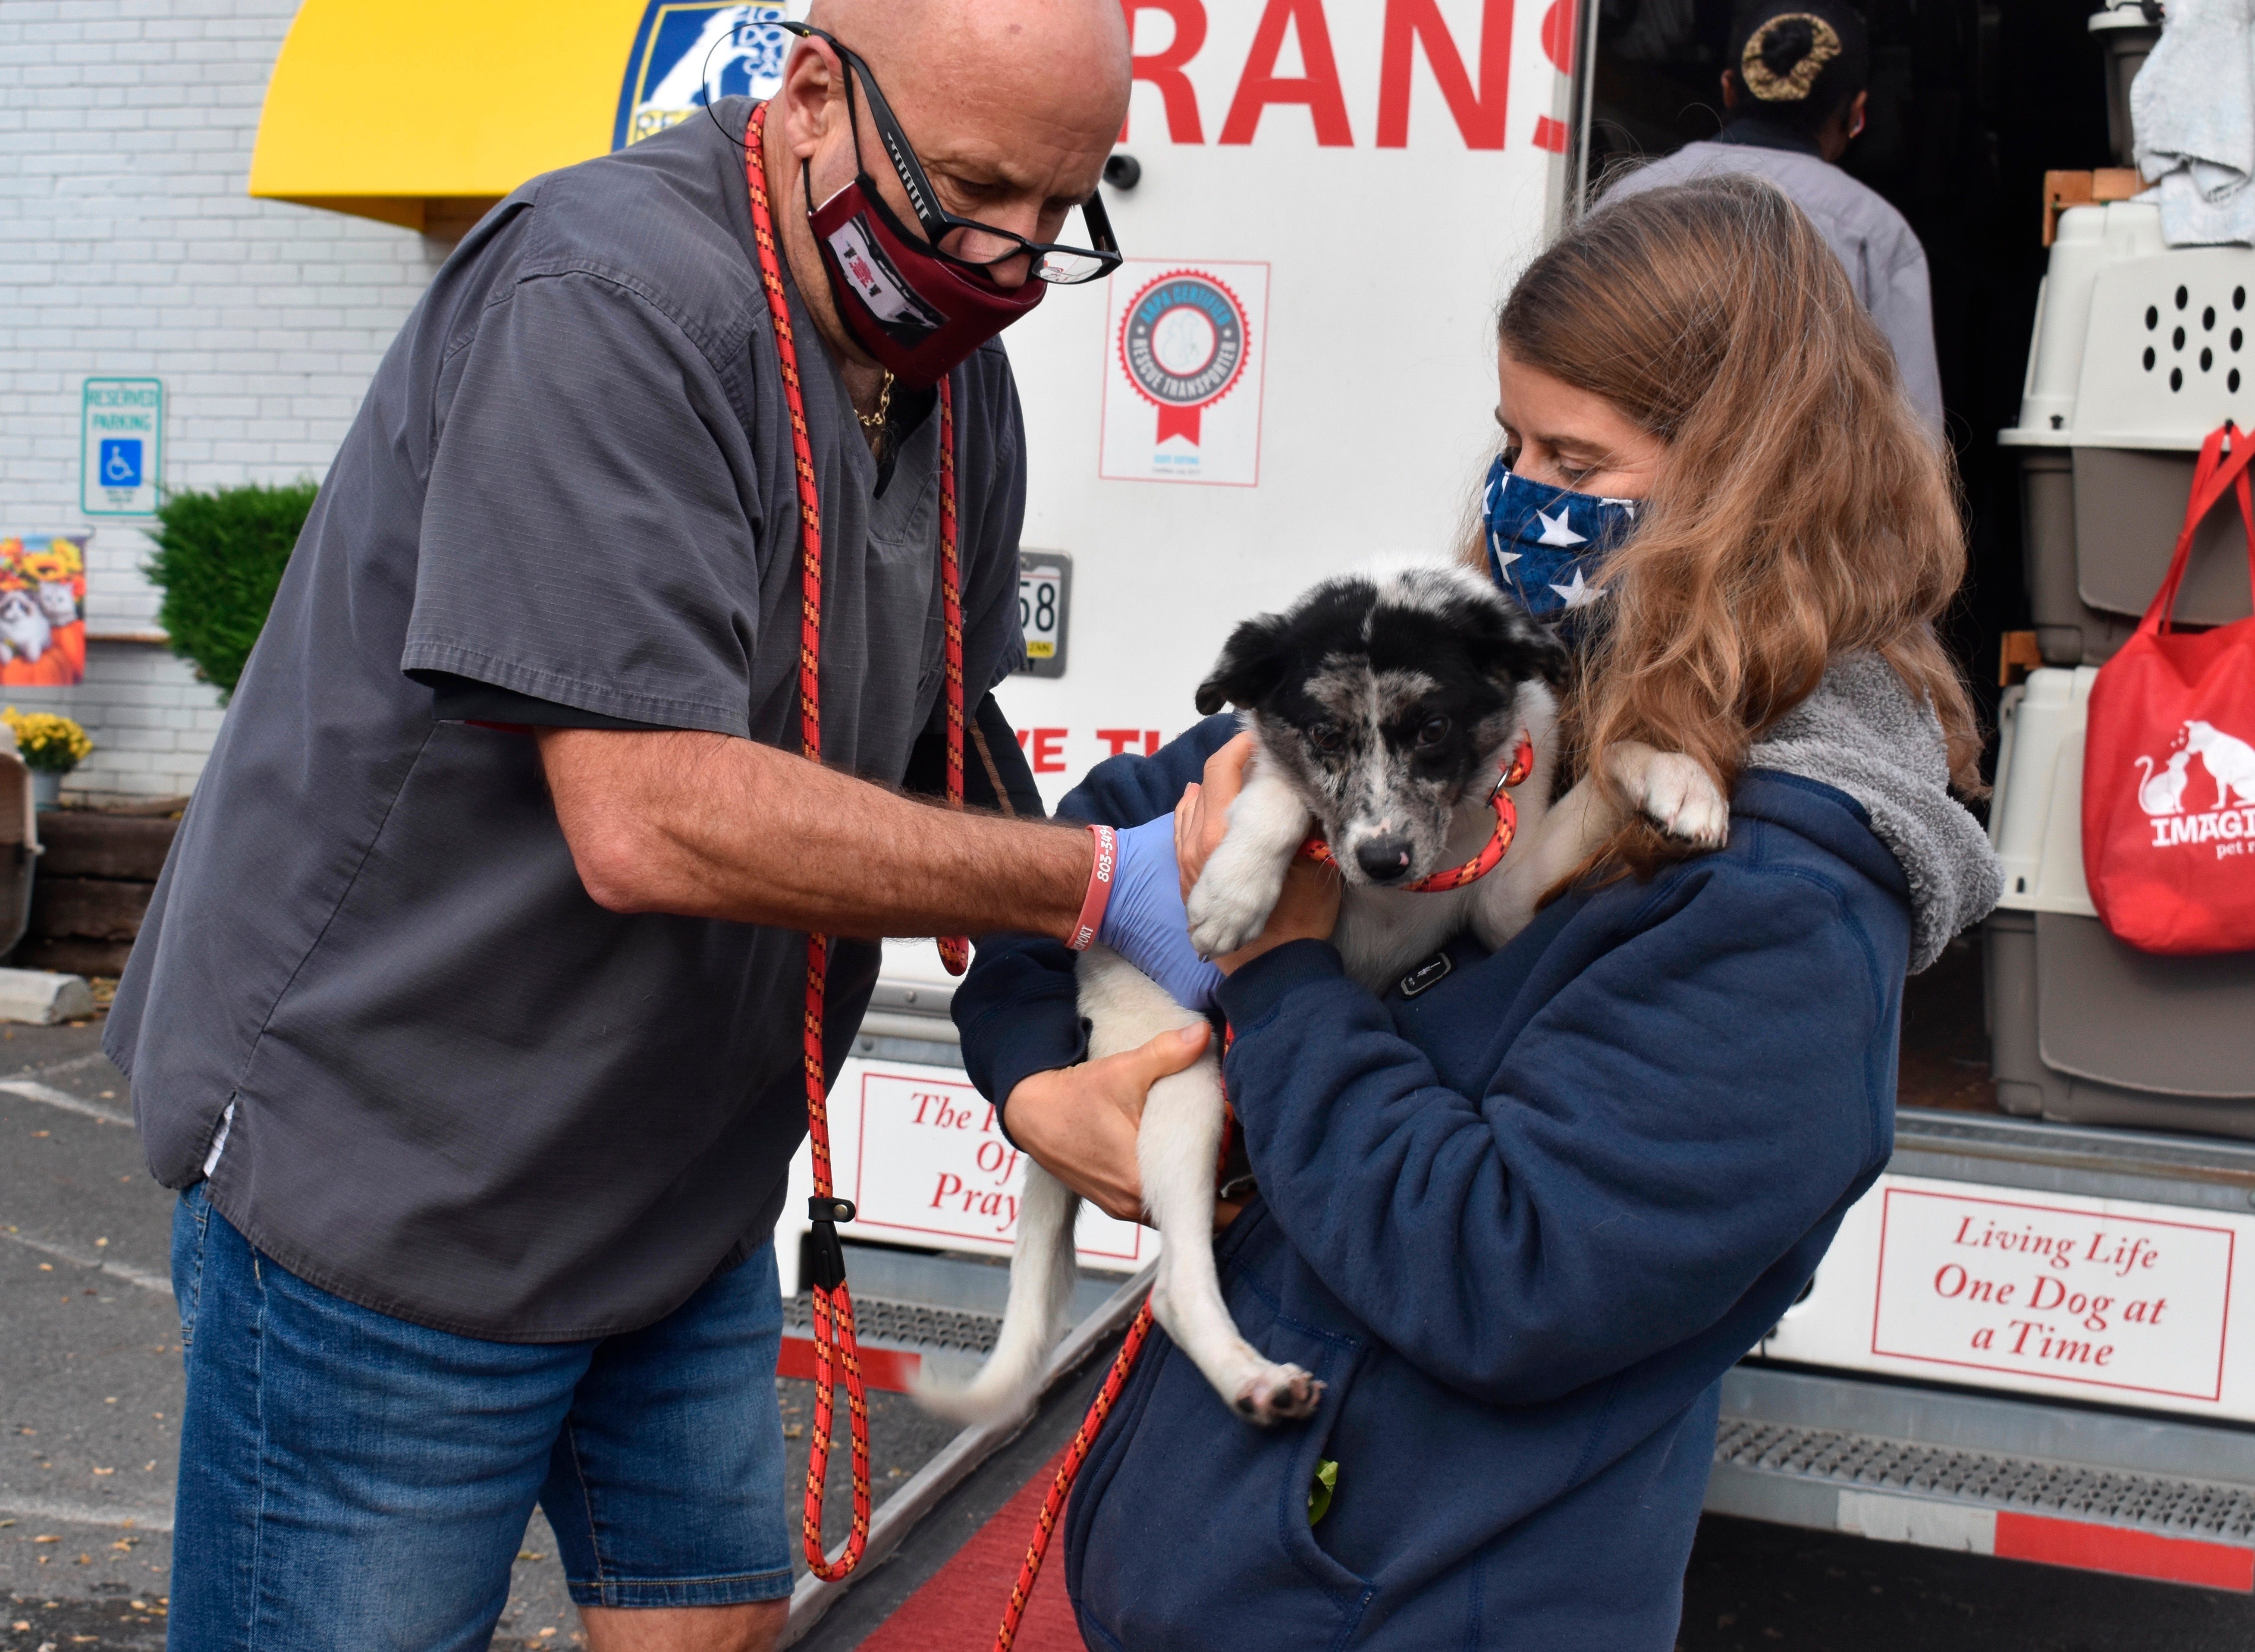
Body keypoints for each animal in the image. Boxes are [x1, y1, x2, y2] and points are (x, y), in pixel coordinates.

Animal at [915, 568, 1723, 1433]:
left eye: (1433, 727)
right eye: (1326, 736)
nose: (1381, 859)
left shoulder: (1504, 903)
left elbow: (1609, 760)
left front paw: (1680, 781)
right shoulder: (1270, 779)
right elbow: (1278, 793)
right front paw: (1234, 889)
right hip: (1182, 1076)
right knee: (1176, 1286)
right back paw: (1252, 1377)